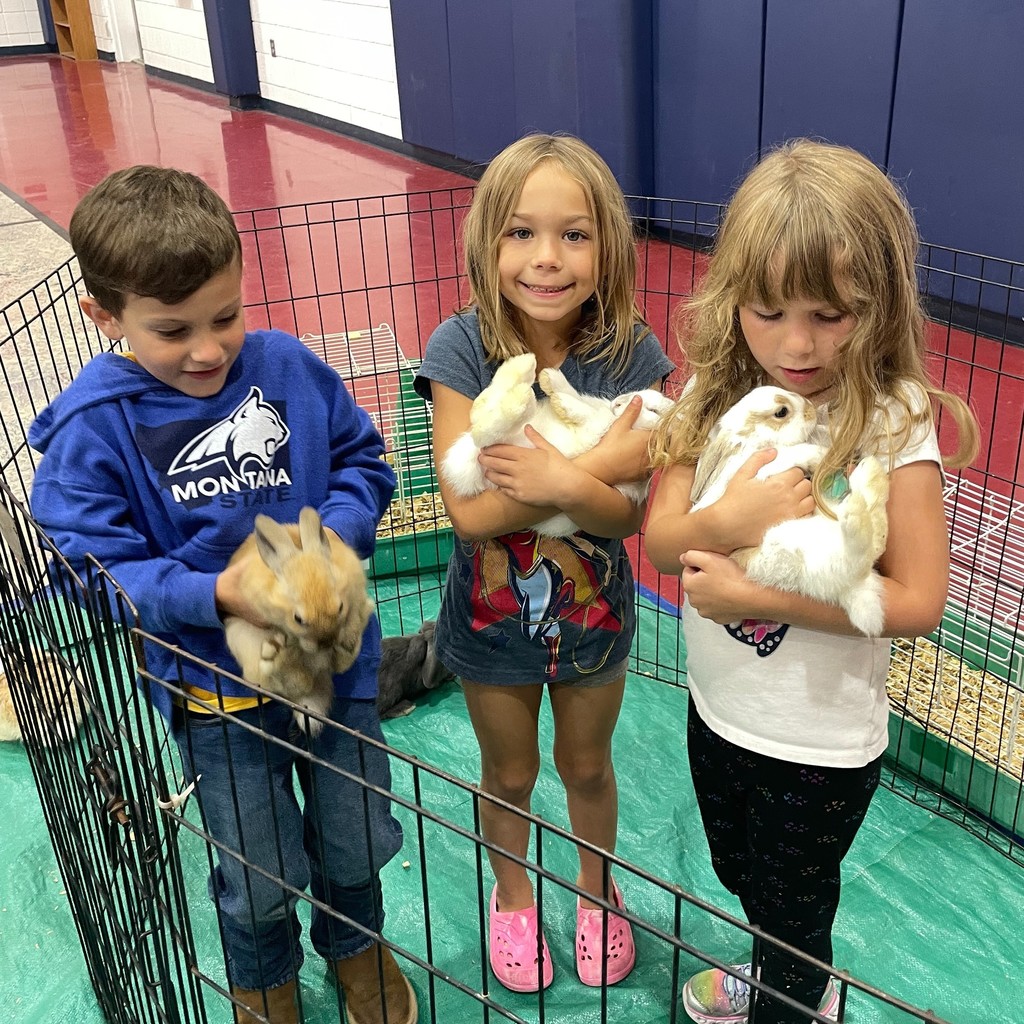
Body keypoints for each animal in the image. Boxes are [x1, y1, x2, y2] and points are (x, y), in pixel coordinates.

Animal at [222, 505, 374, 733]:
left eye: (340, 607)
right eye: (298, 619)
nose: (326, 643)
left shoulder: (354, 597)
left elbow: (353, 618)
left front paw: (348, 637)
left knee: (337, 665)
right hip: (242, 638)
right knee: (290, 681)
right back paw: (278, 653)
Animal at [440, 352, 671, 536]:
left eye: (653, 411)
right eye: (638, 395)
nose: (618, 403)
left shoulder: (595, 430)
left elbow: (585, 413)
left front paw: (561, 403)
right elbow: (575, 394)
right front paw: (551, 379)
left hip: (503, 441)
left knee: (486, 430)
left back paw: (520, 396)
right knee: (482, 410)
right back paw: (522, 366)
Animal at [692, 387, 892, 634]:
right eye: (781, 412)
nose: (810, 407)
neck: (753, 445)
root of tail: (853, 590)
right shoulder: (763, 471)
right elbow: (788, 454)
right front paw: (820, 453)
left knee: (875, 537)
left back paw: (868, 473)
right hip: (799, 552)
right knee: (860, 554)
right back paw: (857, 502)